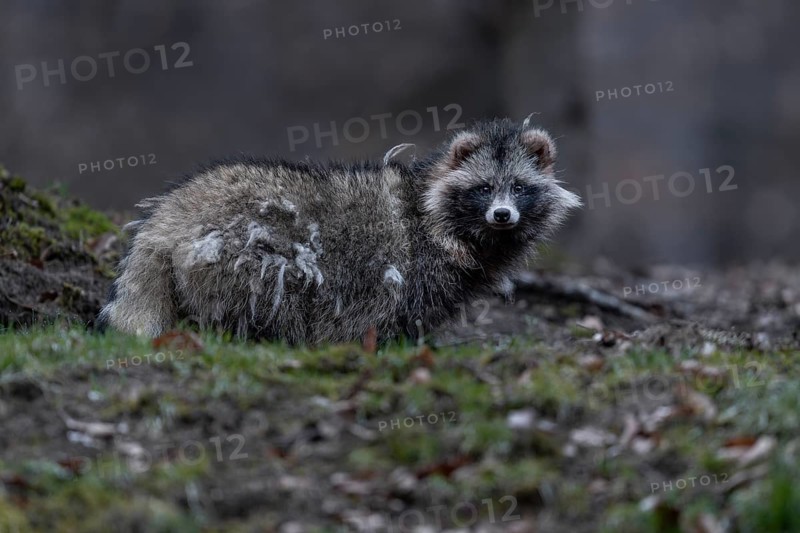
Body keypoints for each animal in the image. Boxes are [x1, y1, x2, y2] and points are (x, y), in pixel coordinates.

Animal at [98, 118, 581, 344]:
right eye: (483, 188)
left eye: (518, 188)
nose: (502, 214)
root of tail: (168, 218)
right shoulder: (413, 265)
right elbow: (398, 307)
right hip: (242, 248)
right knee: (271, 292)